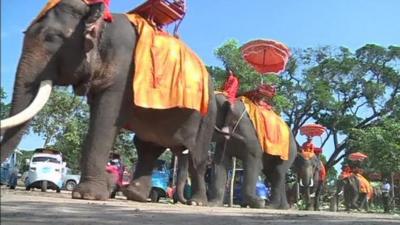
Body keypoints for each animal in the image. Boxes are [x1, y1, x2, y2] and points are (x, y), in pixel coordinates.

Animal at [0, 0, 216, 206]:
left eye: (51, 37)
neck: (101, 20)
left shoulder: (123, 71)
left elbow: (104, 120)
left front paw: (87, 195)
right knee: (147, 147)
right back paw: (135, 195)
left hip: (207, 116)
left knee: (197, 158)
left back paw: (197, 202)